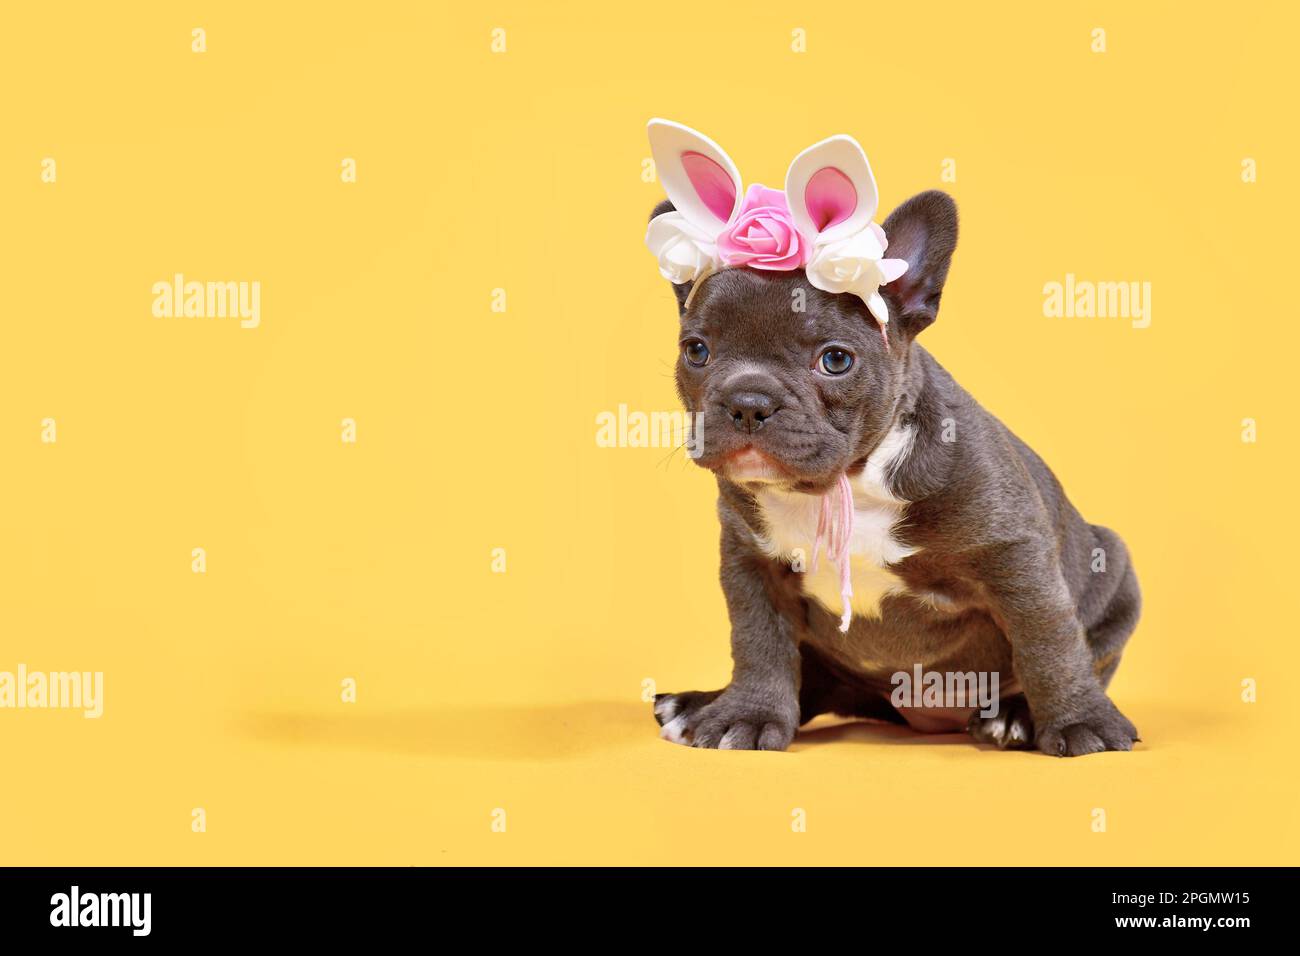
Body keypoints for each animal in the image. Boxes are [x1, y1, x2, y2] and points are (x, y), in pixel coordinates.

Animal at [650, 195, 1138, 759]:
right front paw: (746, 714)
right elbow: (758, 643)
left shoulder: (1014, 553)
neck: (845, 484)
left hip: (1115, 574)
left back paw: (1016, 716)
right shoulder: (751, 563)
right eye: (696, 351)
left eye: (835, 359)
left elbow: (1048, 641)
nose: (748, 402)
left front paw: (1081, 721)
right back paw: (695, 704)